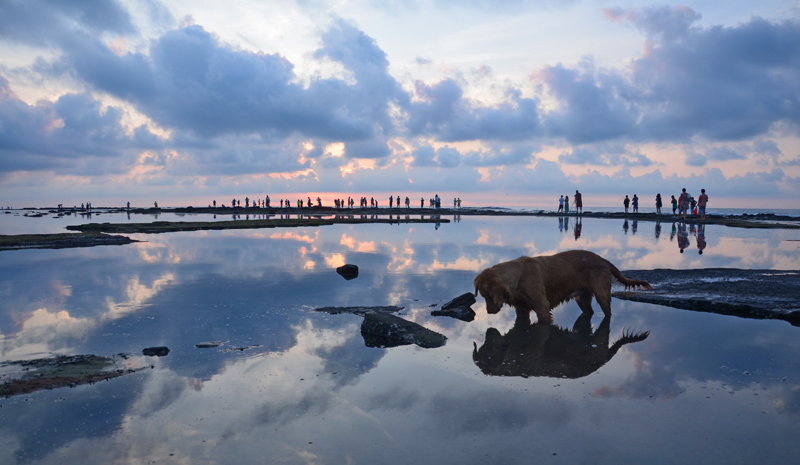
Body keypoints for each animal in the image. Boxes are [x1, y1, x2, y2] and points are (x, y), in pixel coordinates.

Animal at [476, 250, 648, 322]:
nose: (489, 312)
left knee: (607, 311)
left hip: (602, 293)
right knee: (589, 311)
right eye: (483, 296)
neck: (517, 279)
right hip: (583, 297)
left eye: (489, 295)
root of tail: (604, 260)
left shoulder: (542, 305)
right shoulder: (522, 308)